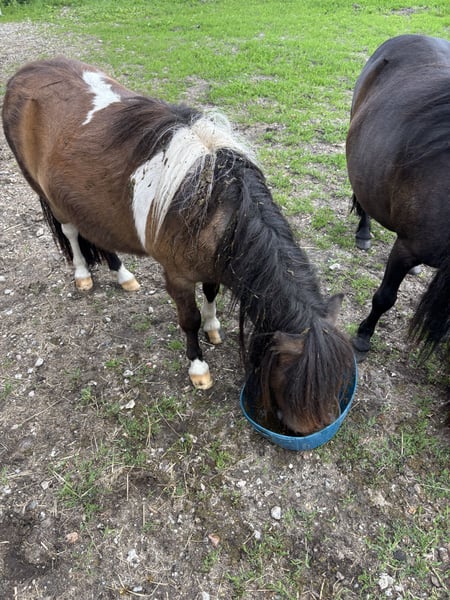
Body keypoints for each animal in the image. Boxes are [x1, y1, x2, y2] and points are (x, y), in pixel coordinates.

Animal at [2, 57, 355, 435]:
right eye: (296, 382)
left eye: (337, 379)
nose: (313, 428)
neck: (213, 207)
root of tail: (26, 72)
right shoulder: (178, 277)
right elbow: (189, 319)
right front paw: (199, 368)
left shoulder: (212, 264)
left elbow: (212, 293)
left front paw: (214, 329)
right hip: (46, 193)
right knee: (70, 233)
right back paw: (83, 275)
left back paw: (123, 275)